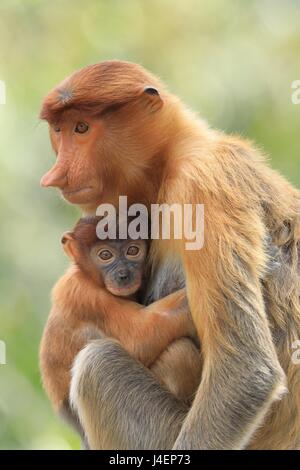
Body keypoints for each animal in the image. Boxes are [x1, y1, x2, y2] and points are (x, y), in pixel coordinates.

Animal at [39, 217, 199, 444]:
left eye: (133, 250)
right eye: (105, 255)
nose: (123, 275)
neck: (89, 277)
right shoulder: (86, 294)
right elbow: (140, 338)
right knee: (179, 351)